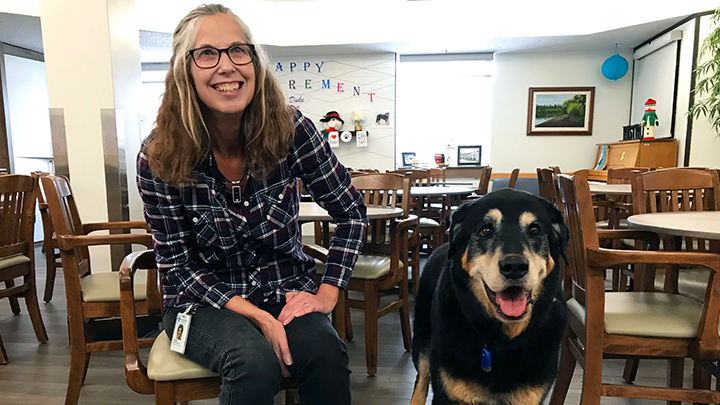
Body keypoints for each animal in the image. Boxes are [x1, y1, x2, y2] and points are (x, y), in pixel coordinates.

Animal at [410, 189, 568, 404]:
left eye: (535, 230)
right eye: (486, 230)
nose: (514, 267)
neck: (502, 341)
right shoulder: (447, 393)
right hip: (423, 342)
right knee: (421, 381)